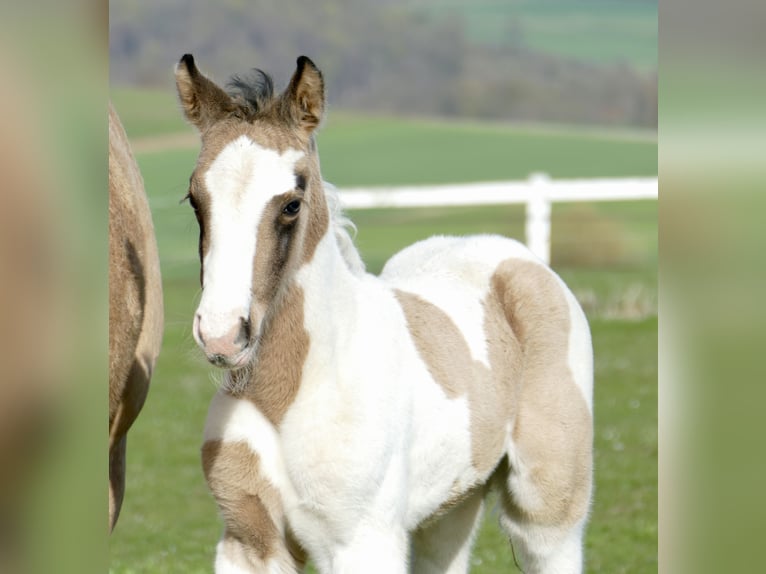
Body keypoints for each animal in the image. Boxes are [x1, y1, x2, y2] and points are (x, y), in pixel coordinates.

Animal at [175, 54, 593, 574]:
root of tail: (517, 256)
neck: (292, 393)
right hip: (452, 504)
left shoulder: (364, 542)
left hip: (546, 506)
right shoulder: (247, 540)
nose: (222, 336)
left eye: (292, 204)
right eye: (195, 199)